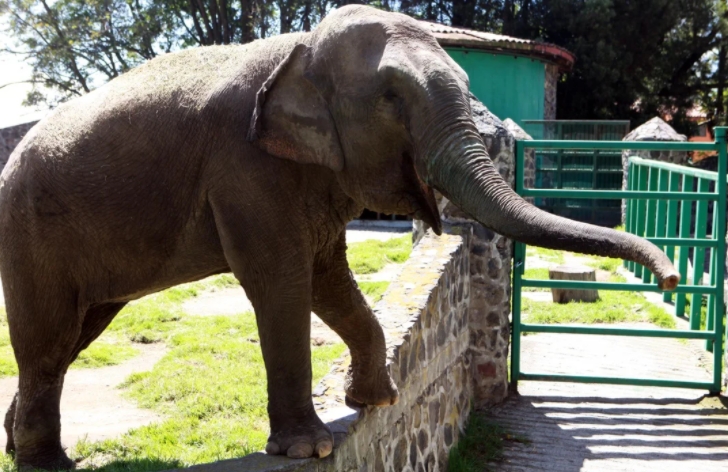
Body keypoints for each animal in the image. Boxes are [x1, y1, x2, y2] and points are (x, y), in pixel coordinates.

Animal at [0, 4, 676, 472]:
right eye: (392, 98)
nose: (670, 276)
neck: (299, 52)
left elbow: (328, 277)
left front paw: (379, 400)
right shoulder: (245, 166)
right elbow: (282, 281)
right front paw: (311, 449)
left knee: (74, 338)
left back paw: (22, 446)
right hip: (29, 232)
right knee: (49, 340)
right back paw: (47, 464)